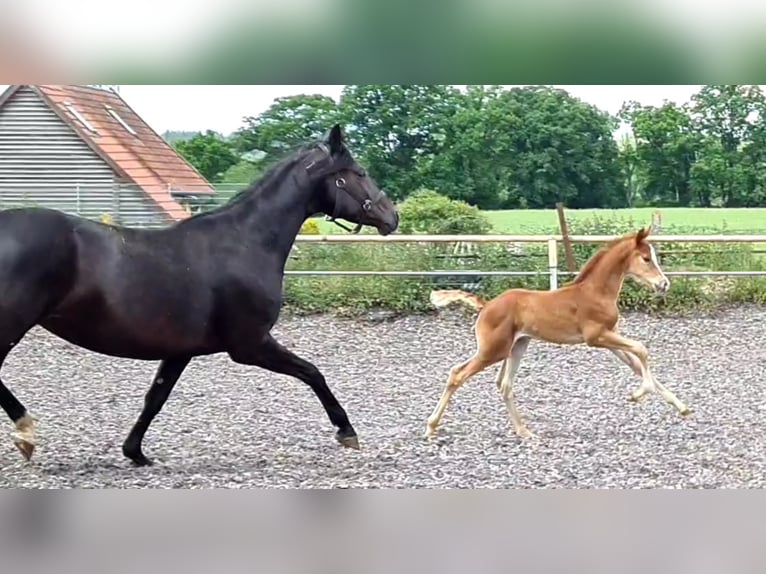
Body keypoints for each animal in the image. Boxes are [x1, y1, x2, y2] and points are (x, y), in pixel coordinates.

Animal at [0, 126, 400, 468]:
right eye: (359, 172)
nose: (391, 216)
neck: (245, 242)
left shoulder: (180, 350)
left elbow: (155, 398)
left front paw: (135, 452)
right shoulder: (250, 345)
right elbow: (313, 373)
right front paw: (347, 432)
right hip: (10, 327)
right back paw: (26, 433)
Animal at [428, 228, 692, 440]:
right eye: (646, 259)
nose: (664, 284)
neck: (595, 292)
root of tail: (487, 304)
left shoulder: (610, 339)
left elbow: (637, 364)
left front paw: (682, 407)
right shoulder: (596, 337)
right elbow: (641, 349)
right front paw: (637, 394)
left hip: (517, 346)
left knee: (504, 385)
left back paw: (524, 432)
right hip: (493, 350)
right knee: (457, 374)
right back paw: (431, 426)